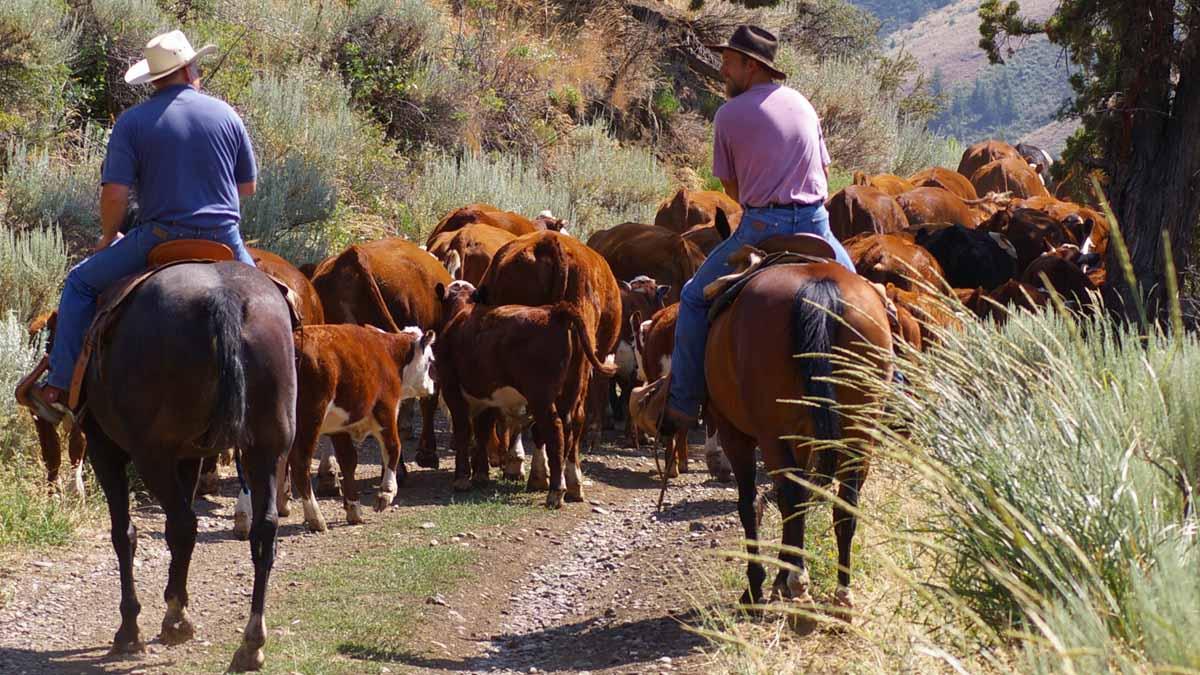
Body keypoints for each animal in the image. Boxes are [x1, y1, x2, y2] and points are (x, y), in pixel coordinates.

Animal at [81, 261, 295, 667]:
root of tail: (224, 298)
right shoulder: (189, 456)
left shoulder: (105, 449)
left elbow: (124, 533)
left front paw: (130, 628)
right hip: (269, 448)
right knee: (263, 531)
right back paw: (251, 643)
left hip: (151, 455)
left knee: (182, 524)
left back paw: (172, 622)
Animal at [279, 324, 436, 528]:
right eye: (430, 360)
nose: (433, 387)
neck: (389, 353)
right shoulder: (385, 410)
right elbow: (393, 448)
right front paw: (386, 493)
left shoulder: (339, 426)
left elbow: (348, 460)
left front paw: (353, 507)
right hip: (309, 419)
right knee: (300, 462)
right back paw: (316, 517)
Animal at [434, 278, 619, 504]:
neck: (460, 315)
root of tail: (556, 312)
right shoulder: (485, 397)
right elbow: (482, 430)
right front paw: (480, 474)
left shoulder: (452, 389)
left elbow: (463, 430)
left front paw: (462, 478)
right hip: (573, 391)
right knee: (572, 426)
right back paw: (573, 486)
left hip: (541, 396)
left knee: (555, 429)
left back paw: (556, 491)